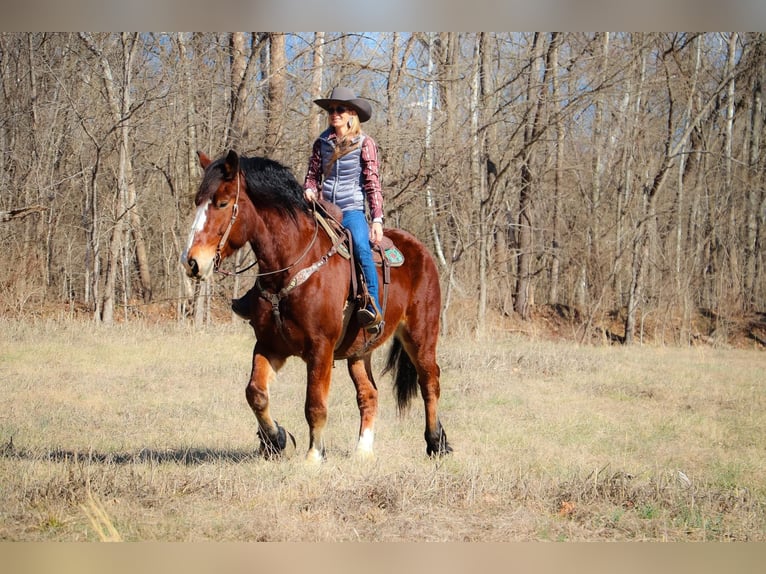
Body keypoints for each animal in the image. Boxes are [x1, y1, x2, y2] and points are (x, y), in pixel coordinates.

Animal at [182, 150, 452, 464]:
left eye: (223, 203)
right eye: (198, 201)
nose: (192, 262)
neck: (292, 265)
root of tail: (421, 251)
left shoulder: (320, 349)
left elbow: (315, 404)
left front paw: (314, 456)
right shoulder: (269, 346)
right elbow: (256, 393)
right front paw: (276, 440)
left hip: (421, 336)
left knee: (429, 383)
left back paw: (436, 443)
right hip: (359, 352)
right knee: (369, 395)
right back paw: (363, 450)